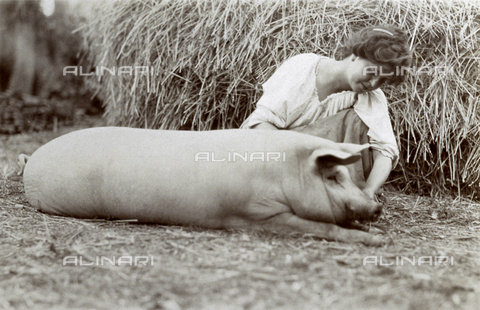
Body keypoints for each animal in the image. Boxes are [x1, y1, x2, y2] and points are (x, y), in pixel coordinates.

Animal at [19, 127, 386, 246]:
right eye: (333, 177)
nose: (377, 207)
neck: (284, 173)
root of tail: (31, 158)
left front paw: (381, 236)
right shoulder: (258, 214)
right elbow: (323, 227)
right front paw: (379, 242)